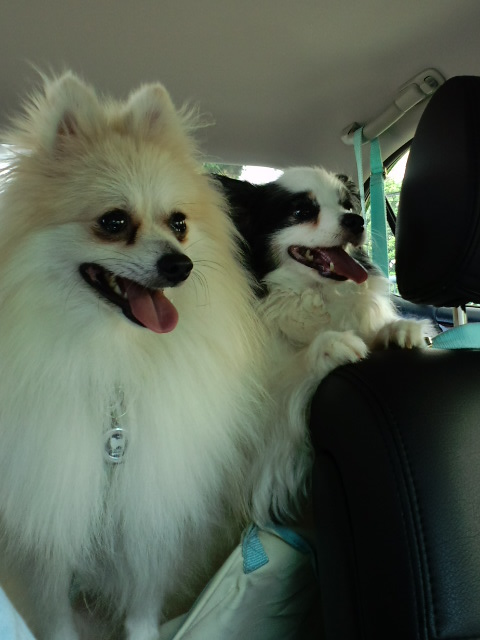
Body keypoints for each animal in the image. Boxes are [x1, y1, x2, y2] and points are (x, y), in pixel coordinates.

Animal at [0, 72, 268, 640]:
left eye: (179, 223)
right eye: (114, 222)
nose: (180, 265)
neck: (114, 360)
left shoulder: (150, 506)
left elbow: (144, 599)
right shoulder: (50, 516)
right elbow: (55, 611)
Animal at [217, 167, 432, 521]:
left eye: (347, 206)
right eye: (302, 212)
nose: (356, 221)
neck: (316, 296)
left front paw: (397, 329)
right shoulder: (261, 452)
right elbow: (292, 376)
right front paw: (331, 344)